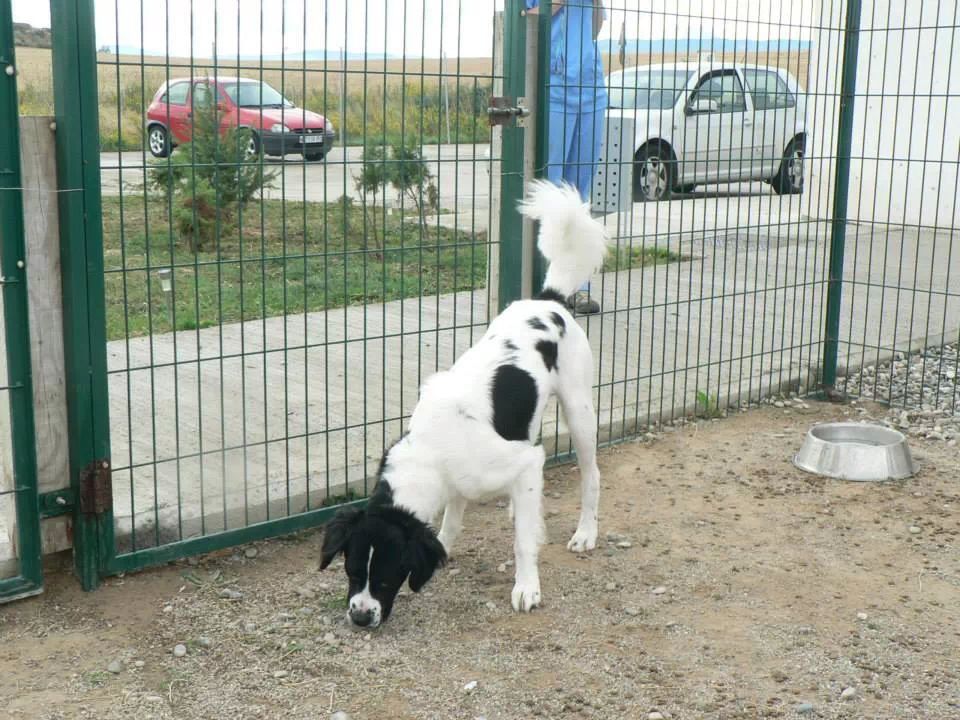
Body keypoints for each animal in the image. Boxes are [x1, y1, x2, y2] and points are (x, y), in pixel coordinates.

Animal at [320, 180, 608, 627]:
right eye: (351, 573)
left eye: (385, 577)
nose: (361, 618)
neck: (430, 448)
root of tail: (550, 300)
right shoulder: (463, 480)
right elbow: (451, 524)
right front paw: (445, 549)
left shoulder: (518, 462)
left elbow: (522, 543)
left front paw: (527, 587)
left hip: (579, 412)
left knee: (591, 475)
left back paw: (585, 533)